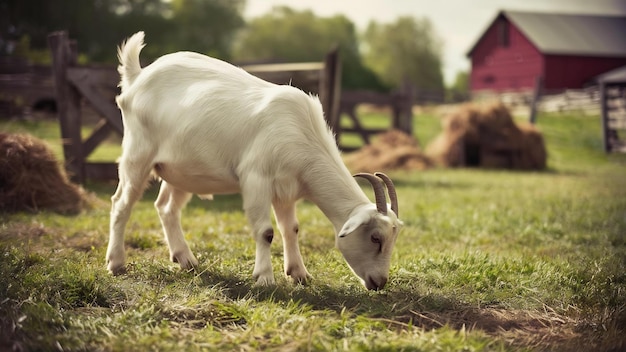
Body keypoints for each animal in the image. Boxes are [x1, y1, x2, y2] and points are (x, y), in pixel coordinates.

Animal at [106, 32, 400, 292]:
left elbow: (291, 228)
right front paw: (265, 278)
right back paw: (116, 263)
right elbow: (265, 231)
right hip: (137, 154)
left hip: (181, 171)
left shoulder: (286, 191)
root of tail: (137, 76)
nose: (379, 282)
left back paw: (185, 259)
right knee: (122, 203)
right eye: (375, 237)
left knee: (166, 208)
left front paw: (299, 274)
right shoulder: (256, 178)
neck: (302, 131)